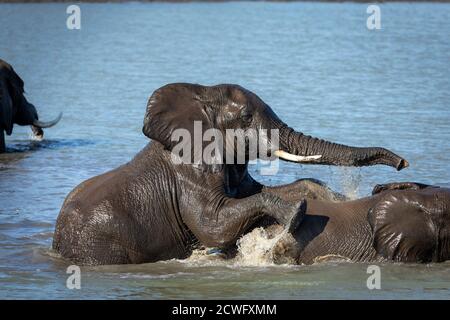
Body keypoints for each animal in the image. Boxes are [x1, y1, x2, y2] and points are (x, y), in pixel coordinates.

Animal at [52, 82, 408, 264]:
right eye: (247, 117)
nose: (403, 163)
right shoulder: (190, 170)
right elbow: (213, 225)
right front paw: (296, 212)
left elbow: (254, 192)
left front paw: (323, 195)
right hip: (98, 247)